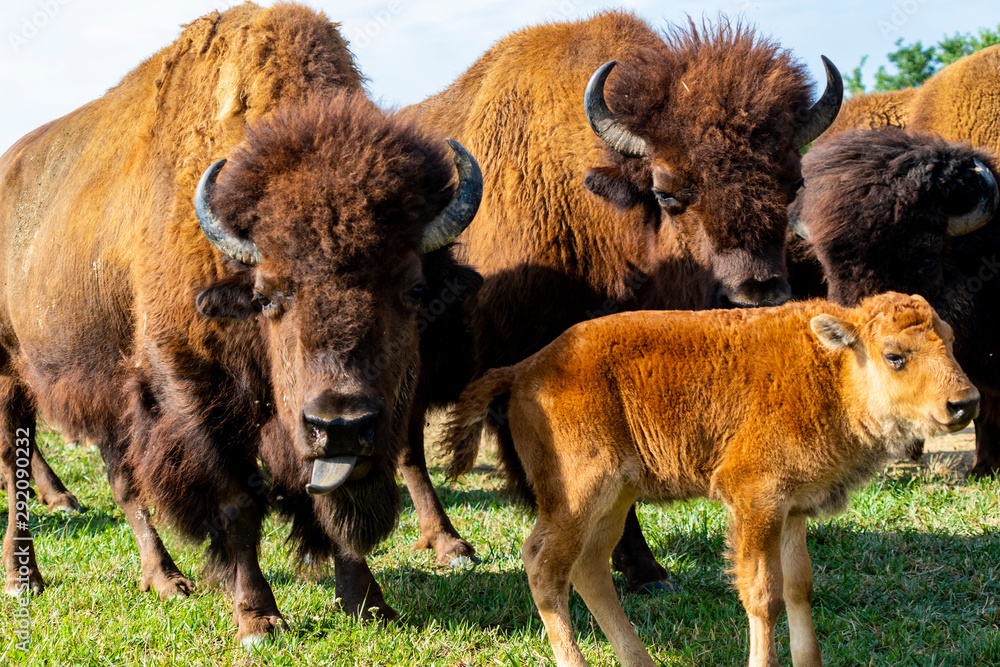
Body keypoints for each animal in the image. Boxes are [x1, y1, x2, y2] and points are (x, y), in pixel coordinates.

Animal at [0, 2, 480, 644]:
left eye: (415, 288)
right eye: (268, 294)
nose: (341, 423)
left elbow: (329, 502)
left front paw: (369, 602)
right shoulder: (190, 392)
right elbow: (236, 503)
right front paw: (257, 618)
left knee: (122, 479)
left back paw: (167, 580)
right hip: (13, 374)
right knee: (18, 466)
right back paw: (25, 578)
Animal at [394, 10, 840, 592]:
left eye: (792, 185)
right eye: (669, 192)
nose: (757, 296)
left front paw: (645, 569)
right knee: (407, 447)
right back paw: (449, 545)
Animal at [446, 294, 976, 667]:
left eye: (951, 342)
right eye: (895, 355)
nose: (964, 402)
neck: (833, 368)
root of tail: (526, 369)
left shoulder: (793, 509)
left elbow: (799, 586)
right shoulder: (756, 501)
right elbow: (764, 594)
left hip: (616, 498)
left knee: (588, 568)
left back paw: (642, 662)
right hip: (578, 495)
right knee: (544, 565)